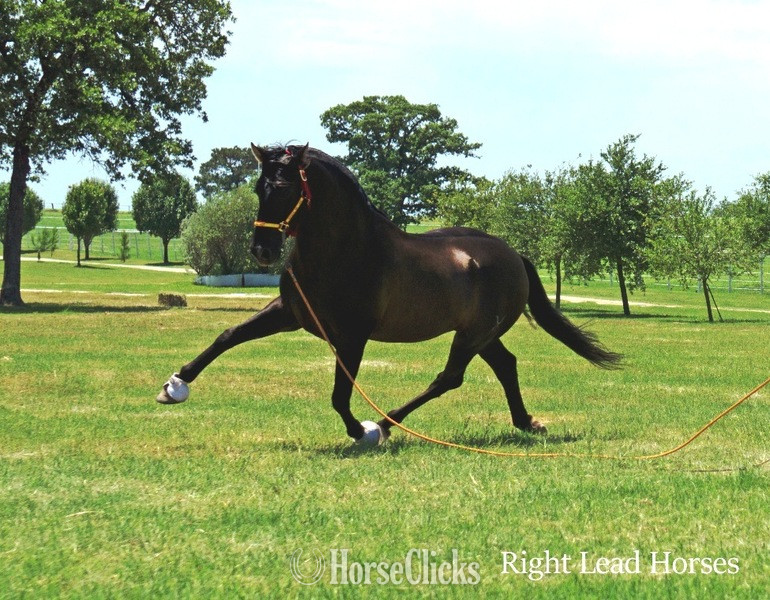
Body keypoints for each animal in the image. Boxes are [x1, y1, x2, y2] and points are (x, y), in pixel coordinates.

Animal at [157, 143, 621, 443]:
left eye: (286, 188)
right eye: (258, 188)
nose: (262, 251)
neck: (347, 251)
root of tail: (513, 254)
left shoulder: (352, 335)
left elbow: (340, 394)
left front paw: (359, 431)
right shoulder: (289, 313)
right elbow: (228, 336)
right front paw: (174, 386)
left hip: (473, 335)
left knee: (449, 378)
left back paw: (384, 425)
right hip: (482, 334)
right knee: (505, 366)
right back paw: (526, 422)